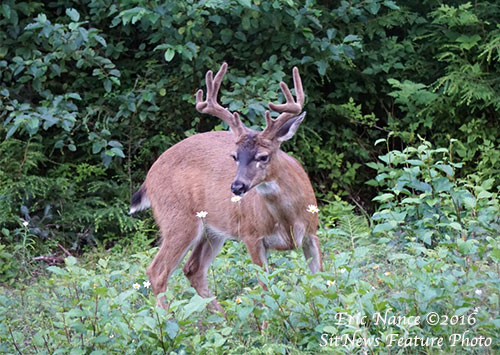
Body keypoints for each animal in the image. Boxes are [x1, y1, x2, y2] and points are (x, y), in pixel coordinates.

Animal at [129, 63, 322, 312]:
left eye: (263, 156)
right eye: (235, 156)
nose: (237, 186)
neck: (288, 218)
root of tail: (150, 176)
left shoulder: (312, 233)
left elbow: (322, 281)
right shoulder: (252, 235)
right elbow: (265, 288)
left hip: (212, 231)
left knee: (193, 269)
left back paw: (222, 317)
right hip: (177, 219)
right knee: (158, 271)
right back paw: (170, 320)